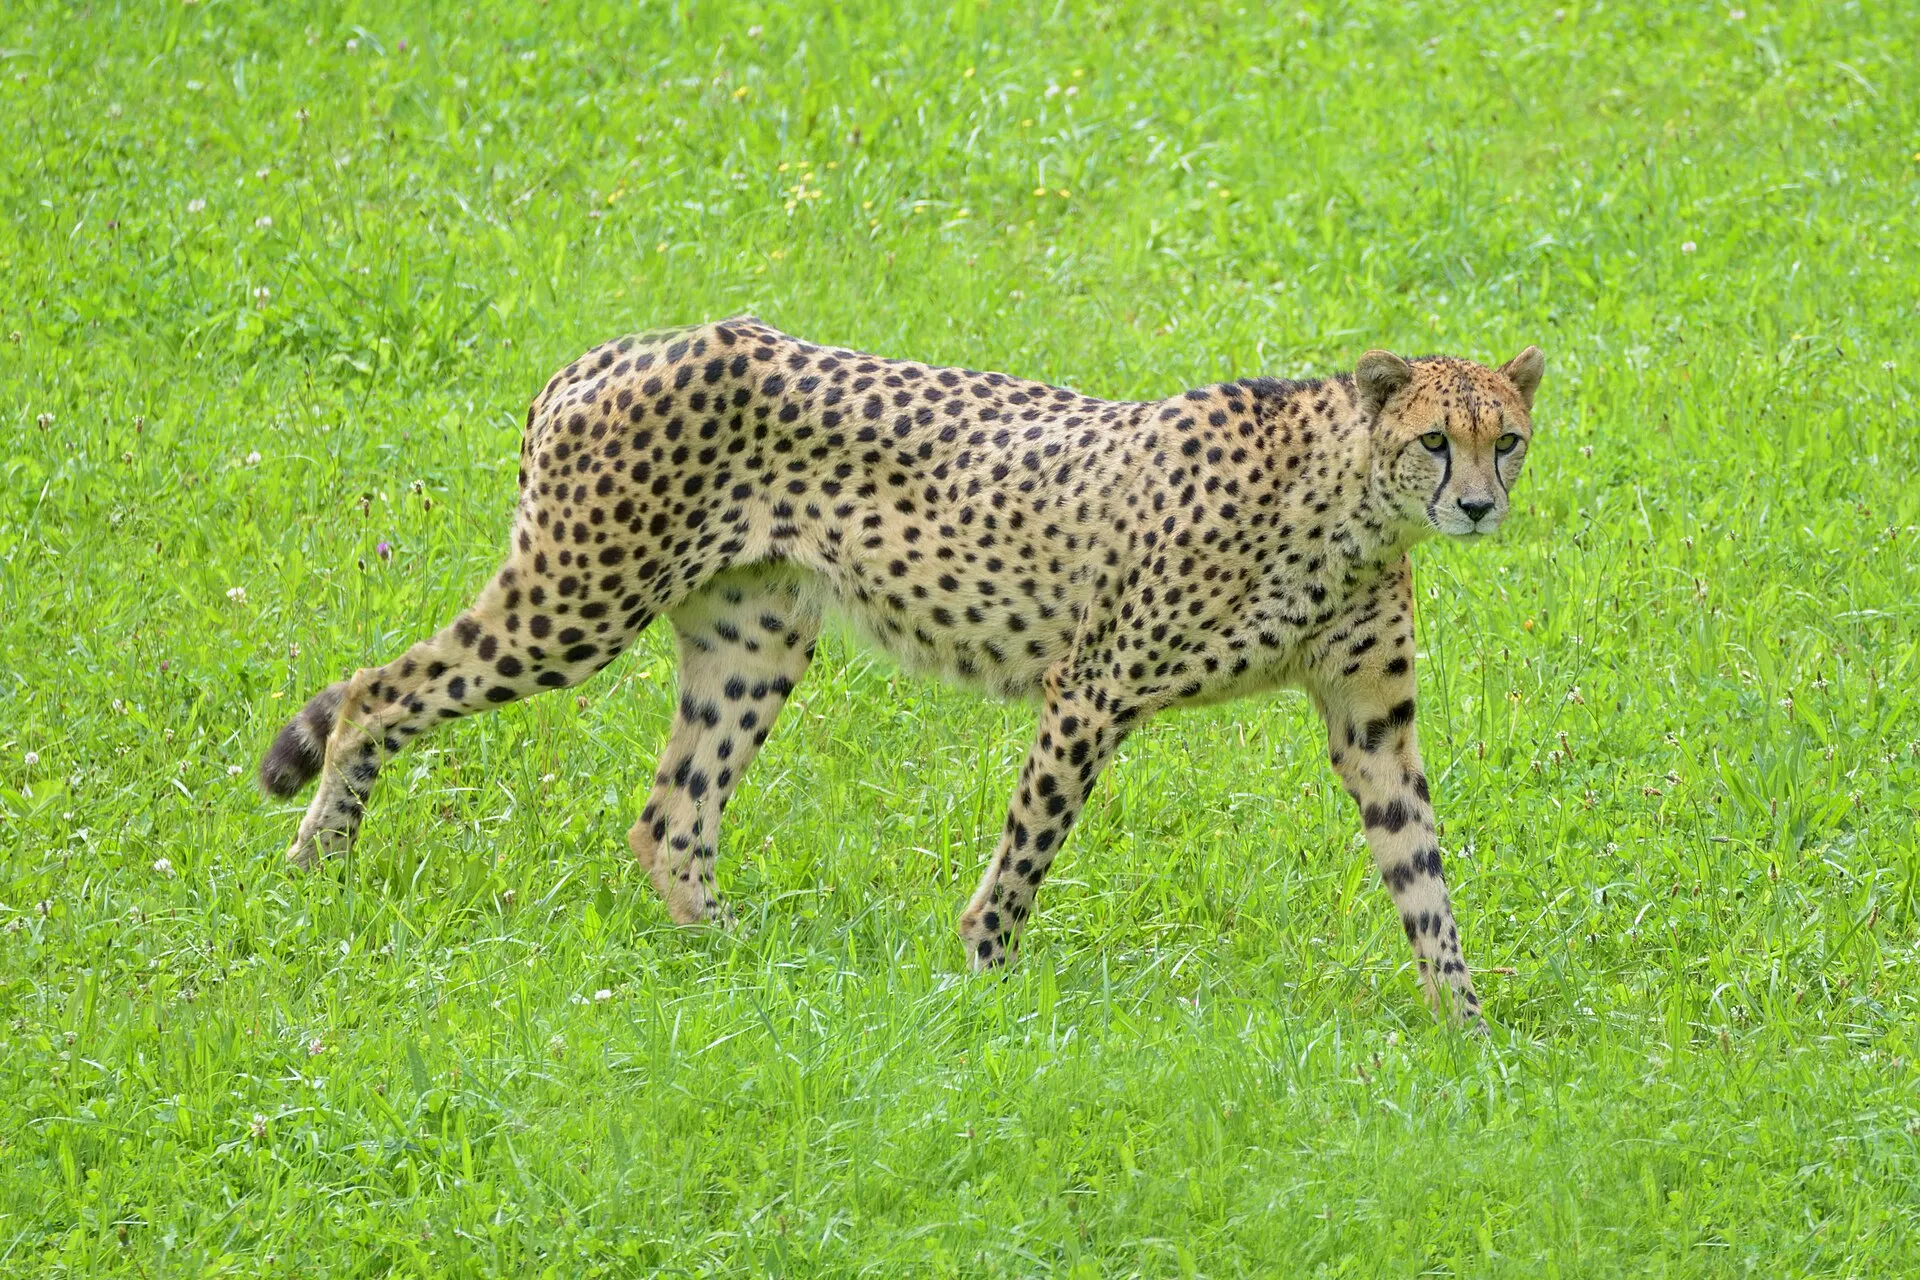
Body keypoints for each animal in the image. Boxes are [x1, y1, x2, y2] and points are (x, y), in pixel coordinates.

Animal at [257, 316, 1543, 1024]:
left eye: (1511, 439)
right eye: (1436, 439)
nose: (1480, 506)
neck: (1348, 505)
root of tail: (610, 350)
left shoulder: (1372, 724)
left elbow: (1422, 871)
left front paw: (1470, 1030)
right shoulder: (1092, 690)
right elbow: (1027, 850)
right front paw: (984, 976)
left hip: (752, 639)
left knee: (670, 813)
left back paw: (734, 952)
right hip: (577, 600)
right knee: (374, 688)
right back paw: (321, 859)